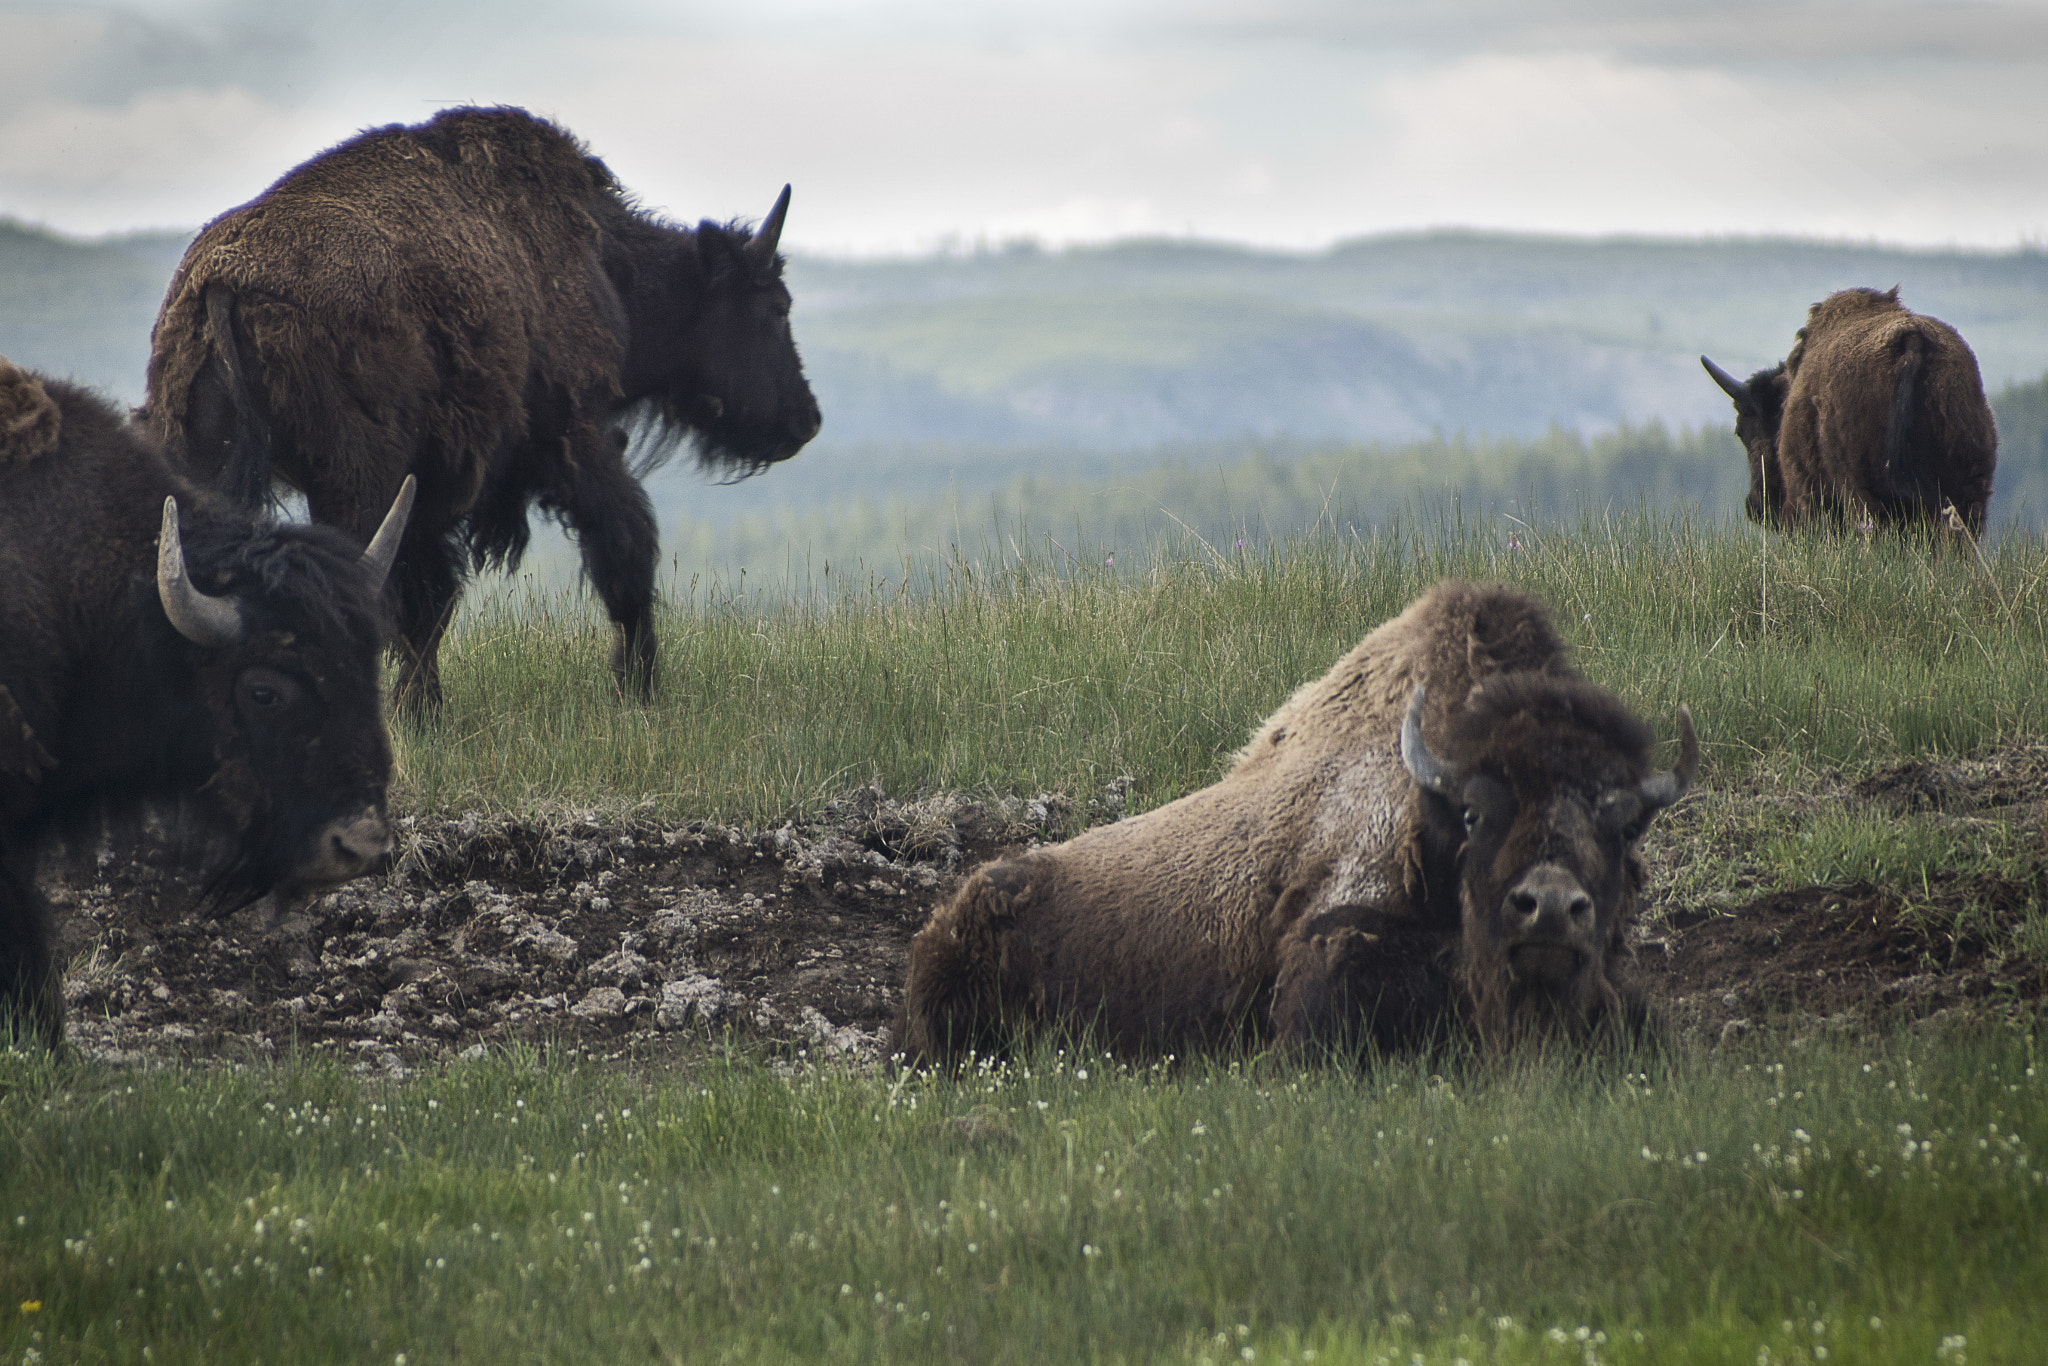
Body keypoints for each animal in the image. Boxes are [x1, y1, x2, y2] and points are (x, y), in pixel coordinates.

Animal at [144, 107, 823, 716]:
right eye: (776, 307)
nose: (807, 420)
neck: (609, 264)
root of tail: (226, 283)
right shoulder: (574, 436)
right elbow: (625, 551)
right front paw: (639, 691)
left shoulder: (430, 493)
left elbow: (428, 602)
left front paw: (425, 711)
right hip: (354, 481)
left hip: (199, 460)